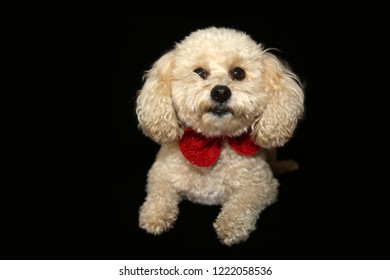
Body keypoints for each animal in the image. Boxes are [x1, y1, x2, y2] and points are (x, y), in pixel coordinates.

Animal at [136, 26, 304, 245]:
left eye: (238, 73)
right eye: (200, 72)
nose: (221, 92)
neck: (213, 143)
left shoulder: (262, 185)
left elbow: (242, 203)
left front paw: (231, 225)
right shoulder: (160, 173)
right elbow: (160, 193)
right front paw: (154, 215)